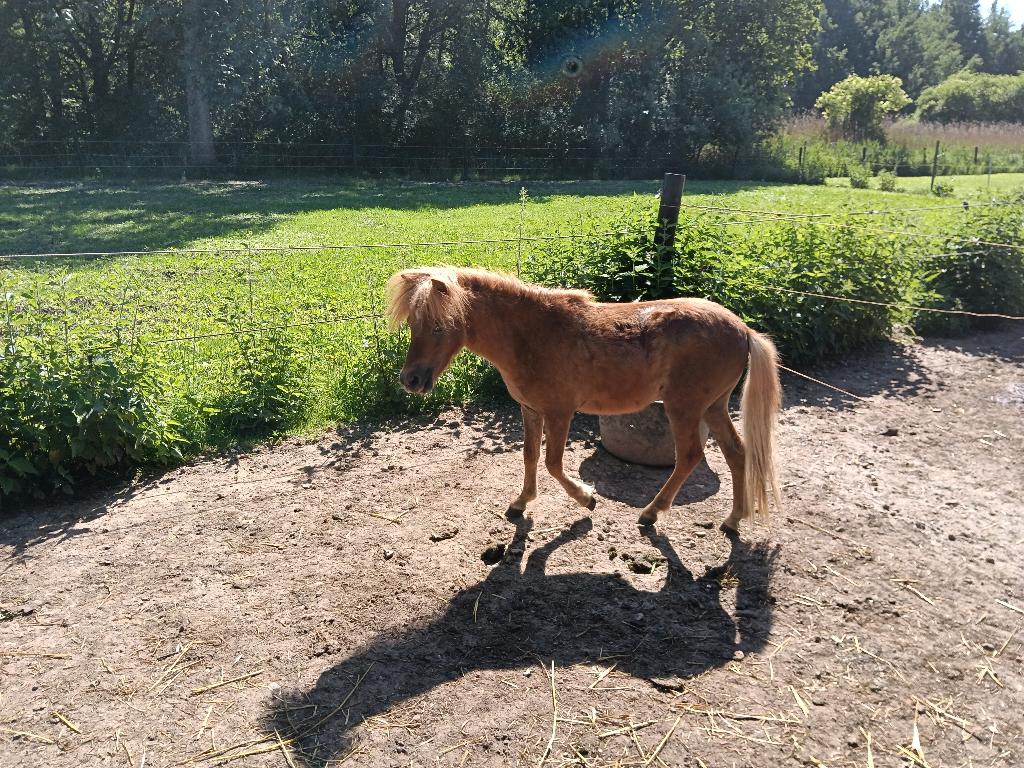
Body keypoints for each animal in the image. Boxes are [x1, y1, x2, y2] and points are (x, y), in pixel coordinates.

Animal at [386, 266, 781, 531]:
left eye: (439, 326)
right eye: (413, 325)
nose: (410, 380)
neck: (531, 335)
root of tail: (743, 330)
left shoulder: (560, 412)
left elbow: (553, 463)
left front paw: (587, 498)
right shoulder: (531, 410)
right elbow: (530, 457)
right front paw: (521, 503)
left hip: (684, 408)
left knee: (689, 456)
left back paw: (651, 513)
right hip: (712, 407)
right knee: (737, 453)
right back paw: (733, 519)